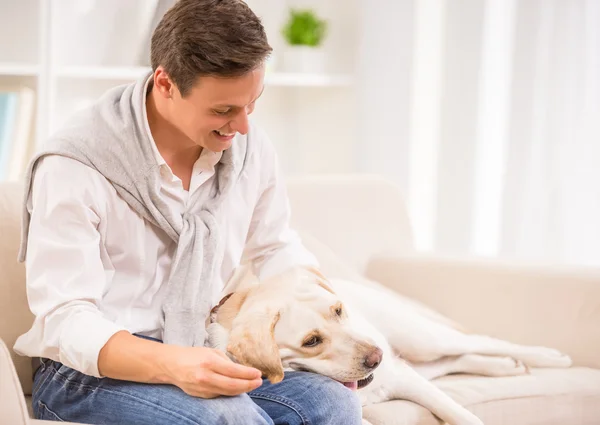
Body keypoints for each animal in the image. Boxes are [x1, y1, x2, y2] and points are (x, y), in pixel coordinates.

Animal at [206, 266, 572, 422]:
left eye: (338, 310)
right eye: (311, 341)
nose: (376, 358)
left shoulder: (403, 379)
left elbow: (460, 413)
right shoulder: (398, 377)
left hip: (420, 340)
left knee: (478, 341)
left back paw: (549, 357)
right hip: (414, 356)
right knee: (453, 360)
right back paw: (503, 366)